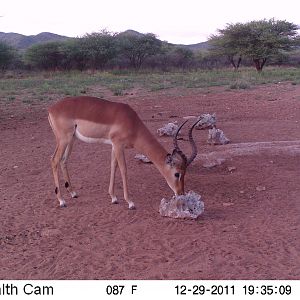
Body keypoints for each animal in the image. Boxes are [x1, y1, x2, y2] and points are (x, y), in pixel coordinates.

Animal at [47, 96, 197, 209]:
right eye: (177, 174)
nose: (180, 193)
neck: (132, 123)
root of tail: (51, 108)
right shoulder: (119, 145)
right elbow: (124, 169)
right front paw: (130, 202)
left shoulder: (114, 146)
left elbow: (113, 167)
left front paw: (113, 198)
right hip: (64, 139)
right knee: (54, 160)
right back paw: (61, 201)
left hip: (71, 139)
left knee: (64, 160)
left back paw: (73, 193)